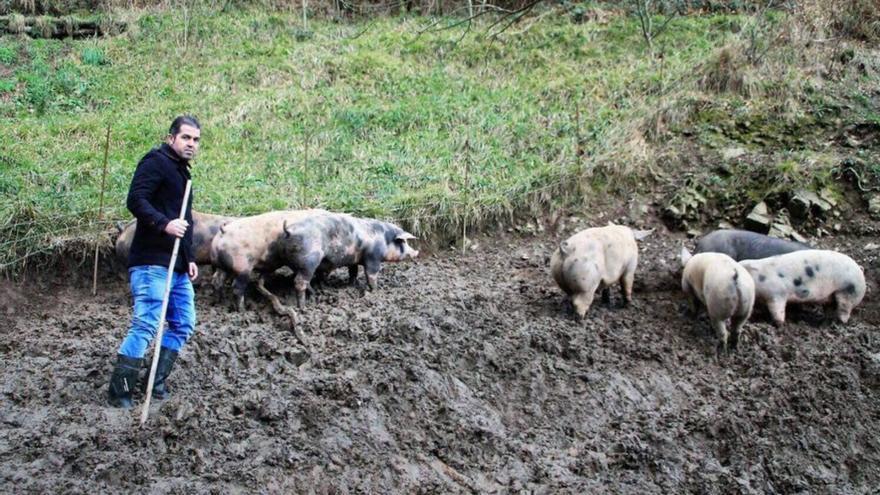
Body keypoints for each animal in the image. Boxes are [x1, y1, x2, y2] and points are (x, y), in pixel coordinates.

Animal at [282, 212, 420, 306]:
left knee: (305, 281)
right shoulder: (373, 258)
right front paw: (375, 290)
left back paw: (316, 294)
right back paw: (302, 307)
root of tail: (289, 231)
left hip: (296, 263)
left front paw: (352, 284)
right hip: (308, 261)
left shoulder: (353, 260)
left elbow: (353, 272)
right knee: (299, 282)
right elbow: (371, 274)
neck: (384, 241)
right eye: (403, 242)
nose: (416, 253)